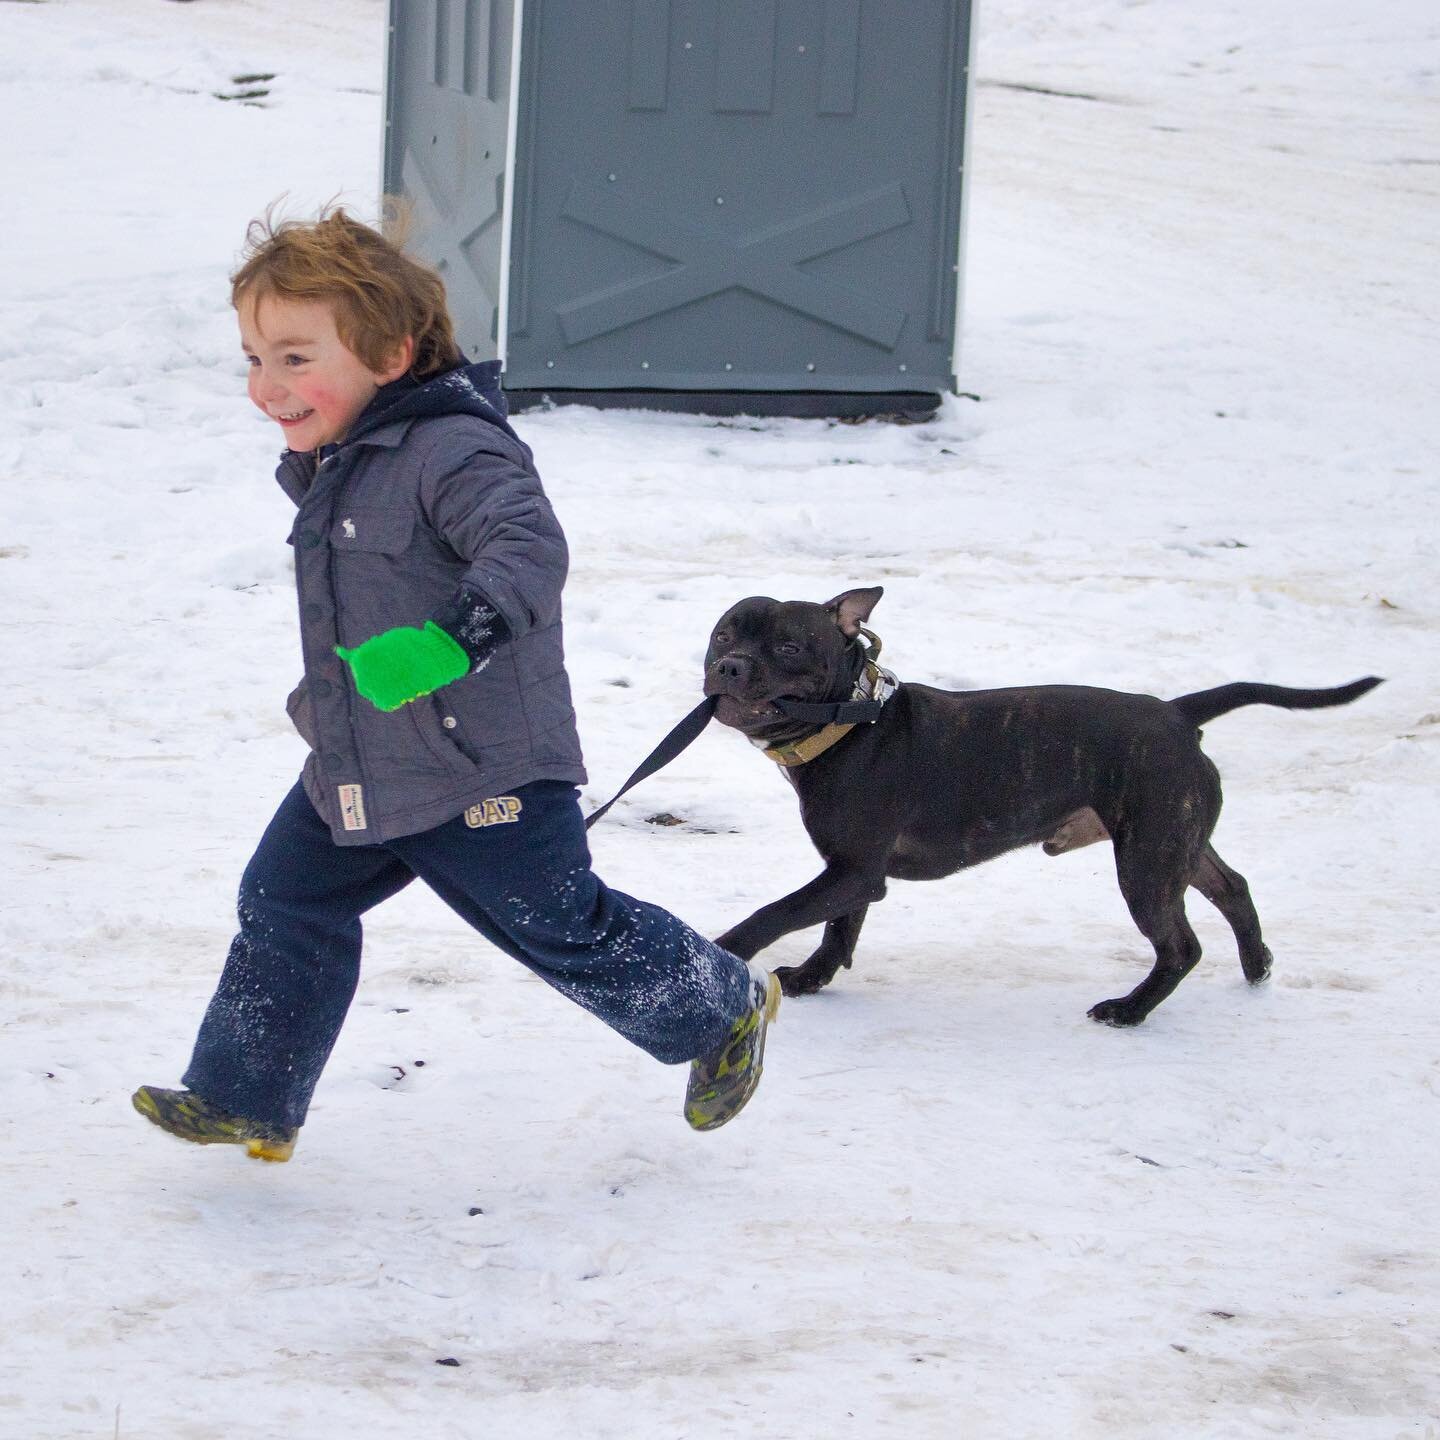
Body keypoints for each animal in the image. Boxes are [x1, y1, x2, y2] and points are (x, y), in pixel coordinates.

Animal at [708, 584, 1382, 1025]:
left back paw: (1130, 1010)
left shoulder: (852, 872)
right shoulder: (852, 873)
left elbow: (777, 912)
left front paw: (725, 951)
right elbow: (837, 930)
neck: (849, 718)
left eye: (790, 647)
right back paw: (1256, 966)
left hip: (1147, 862)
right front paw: (812, 977)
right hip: (1176, 843)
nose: (730, 665)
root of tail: (1175, 713)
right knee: (1232, 887)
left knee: (1181, 945)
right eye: (722, 634)